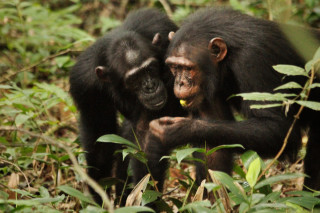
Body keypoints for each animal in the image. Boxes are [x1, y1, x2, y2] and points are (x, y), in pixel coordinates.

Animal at [69, 7, 186, 202]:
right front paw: (98, 197)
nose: (150, 86)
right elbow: (100, 138)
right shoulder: (84, 83)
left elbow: (147, 141)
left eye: (150, 69)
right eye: (134, 79)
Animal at [147, 8, 320, 191]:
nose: (180, 82)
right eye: (174, 67)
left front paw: (178, 130)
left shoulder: (253, 61)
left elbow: (277, 127)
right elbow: (213, 148)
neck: (228, 58)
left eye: (187, 68)